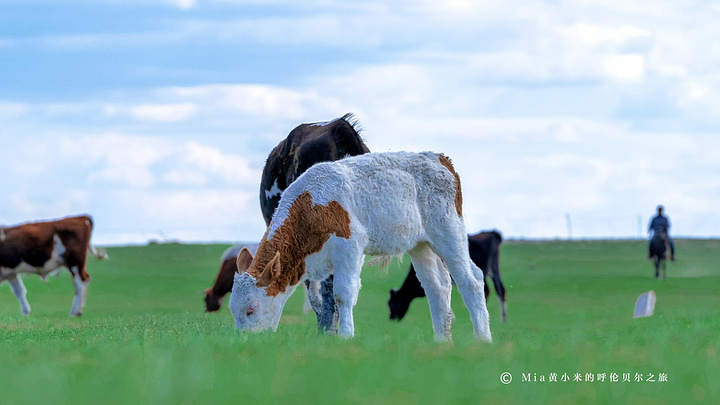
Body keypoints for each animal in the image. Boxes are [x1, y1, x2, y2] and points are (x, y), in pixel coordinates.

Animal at [231, 152, 496, 340]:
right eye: (233, 310)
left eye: (251, 308)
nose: (245, 340)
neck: (310, 206)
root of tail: (439, 158)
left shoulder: (349, 245)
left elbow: (342, 293)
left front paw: (346, 336)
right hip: (421, 245)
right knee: (436, 288)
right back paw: (442, 341)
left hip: (449, 233)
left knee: (471, 281)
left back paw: (483, 339)